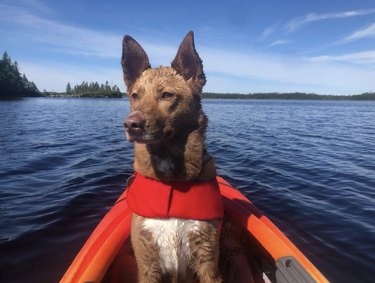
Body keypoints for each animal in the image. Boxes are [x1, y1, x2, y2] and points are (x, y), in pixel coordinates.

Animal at [122, 31, 223, 283]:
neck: (172, 182)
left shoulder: (208, 259)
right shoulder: (148, 264)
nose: (130, 125)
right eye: (135, 96)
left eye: (167, 95)